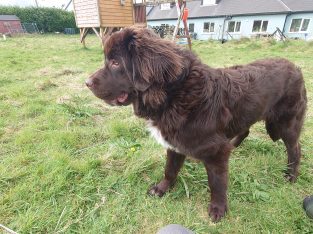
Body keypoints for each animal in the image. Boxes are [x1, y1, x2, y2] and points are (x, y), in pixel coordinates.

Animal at [86, 27, 306, 221]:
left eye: (115, 63)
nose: (87, 83)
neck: (174, 94)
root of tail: (296, 67)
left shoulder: (216, 152)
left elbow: (217, 183)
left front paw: (218, 209)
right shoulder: (174, 143)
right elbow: (170, 169)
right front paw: (162, 188)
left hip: (286, 123)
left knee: (295, 148)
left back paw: (291, 175)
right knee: (245, 131)